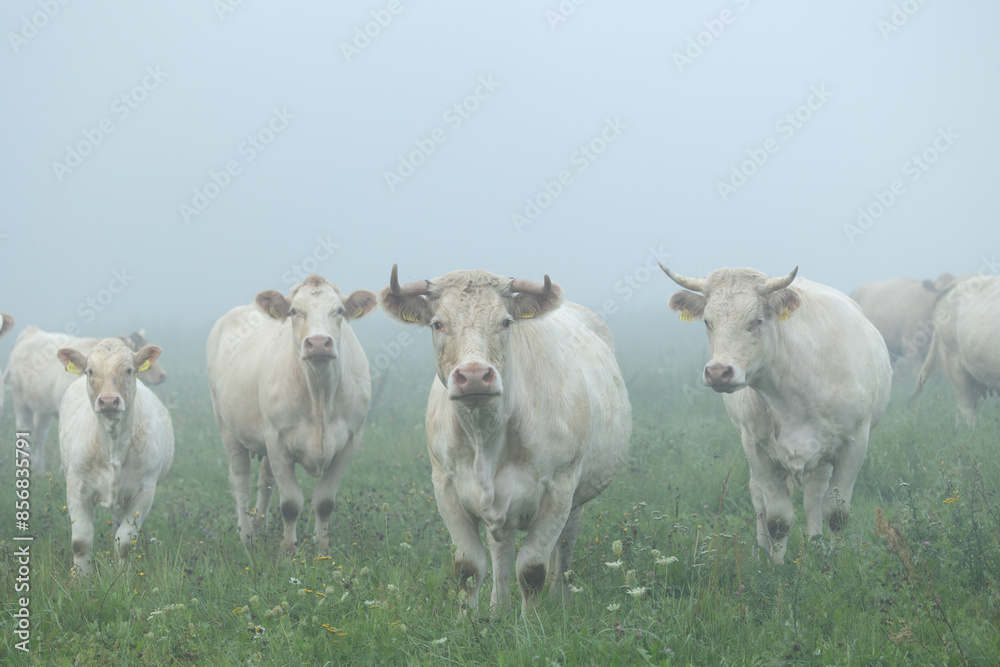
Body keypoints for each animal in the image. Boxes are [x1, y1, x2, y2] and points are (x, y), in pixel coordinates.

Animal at [7, 327, 168, 476]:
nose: (162, 375)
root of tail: (31, 330)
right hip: (19, 400)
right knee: (24, 428)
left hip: (42, 408)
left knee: (40, 432)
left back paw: (39, 469)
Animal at [57, 338, 174, 576]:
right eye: (90, 371)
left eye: (129, 370)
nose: (109, 401)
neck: (112, 446)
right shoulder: (76, 486)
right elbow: (81, 541)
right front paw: (80, 579)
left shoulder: (144, 491)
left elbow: (126, 543)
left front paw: (123, 578)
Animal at [206, 275, 376, 553]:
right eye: (295, 311)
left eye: (340, 310)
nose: (318, 343)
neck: (320, 396)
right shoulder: (277, 441)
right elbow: (291, 503)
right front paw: (288, 551)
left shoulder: (351, 441)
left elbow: (324, 502)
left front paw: (322, 549)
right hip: (227, 427)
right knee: (240, 481)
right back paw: (246, 535)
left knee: (264, 480)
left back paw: (260, 524)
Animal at [379, 265, 631, 614]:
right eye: (437, 324)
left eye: (506, 322)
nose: (473, 375)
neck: (486, 437)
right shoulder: (446, 487)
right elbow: (469, 566)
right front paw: (468, 620)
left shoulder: (559, 488)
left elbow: (532, 568)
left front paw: (531, 623)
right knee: (501, 551)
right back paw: (498, 608)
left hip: (577, 493)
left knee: (565, 542)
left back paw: (559, 596)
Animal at [661, 265, 891, 564]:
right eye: (707, 322)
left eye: (757, 320)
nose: (718, 372)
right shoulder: (756, 448)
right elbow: (778, 519)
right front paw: (776, 567)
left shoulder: (854, 443)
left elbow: (836, 514)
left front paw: (839, 561)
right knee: (760, 497)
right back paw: (762, 553)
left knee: (815, 495)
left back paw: (818, 547)